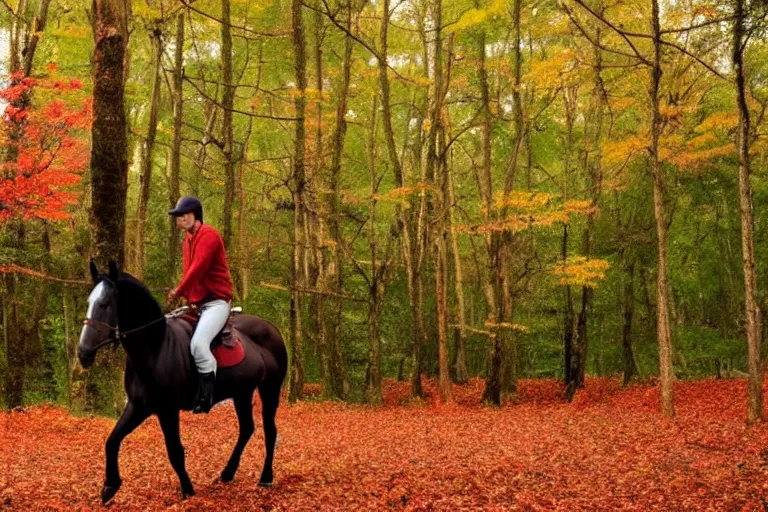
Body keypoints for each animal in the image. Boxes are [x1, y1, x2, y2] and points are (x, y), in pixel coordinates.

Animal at [77, 260, 288, 504]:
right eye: (89, 303)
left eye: (105, 304)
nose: (83, 352)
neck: (156, 348)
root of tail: (273, 329)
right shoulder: (138, 407)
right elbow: (112, 440)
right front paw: (110, 486)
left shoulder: (168, 410)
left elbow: (175, 451)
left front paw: (188, 490)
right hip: (241, 393)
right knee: (247, 428)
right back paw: (227, 473)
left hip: (270, 389)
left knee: (270, 431)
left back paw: (266, 478)